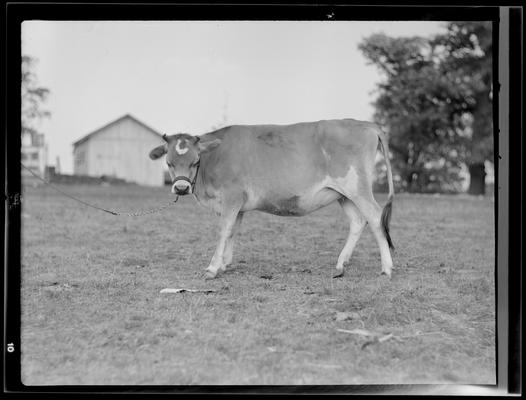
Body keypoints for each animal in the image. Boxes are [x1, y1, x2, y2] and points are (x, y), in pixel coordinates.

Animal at [150, 119, 396, 280]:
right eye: (169, 162)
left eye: (195, 161)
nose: (181, 187)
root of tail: (364, 123)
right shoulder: (238, 206)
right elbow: (232, 231)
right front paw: (224, 264)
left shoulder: (231, 198)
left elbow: (223, 230)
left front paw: (212, 268)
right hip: (344, 194)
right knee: (358, 221)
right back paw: (341, 263)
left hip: (357, 187)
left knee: (376, 217)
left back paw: (387, 267)